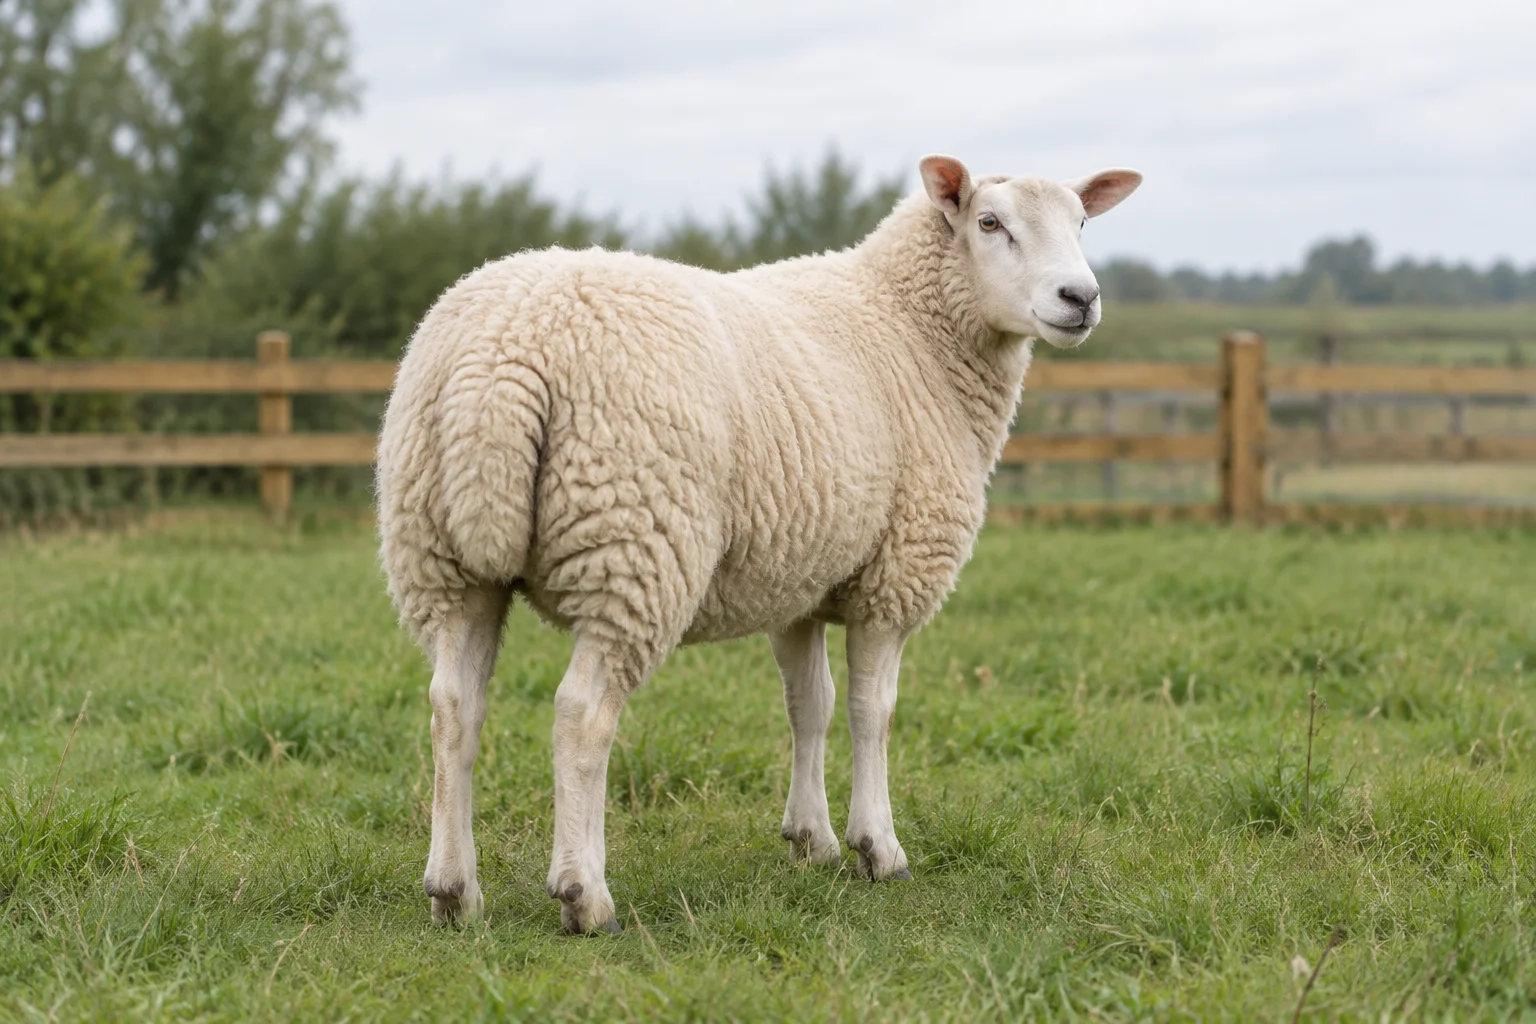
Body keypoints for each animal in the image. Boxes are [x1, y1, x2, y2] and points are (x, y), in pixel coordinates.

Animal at [375, 154, 1142, 932]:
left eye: (1083, 221)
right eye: (989, 223)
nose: (1080, 298)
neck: (913, 329)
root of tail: (502, 356)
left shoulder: (799, 578)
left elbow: (811, 704)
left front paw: (812, 839)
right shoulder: (897, 571)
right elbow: (872, 709)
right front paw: (879, 848)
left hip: (442, 556)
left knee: (454, 708)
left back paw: (454, 891)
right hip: (633, 546)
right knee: (582, 715)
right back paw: (586, 896)